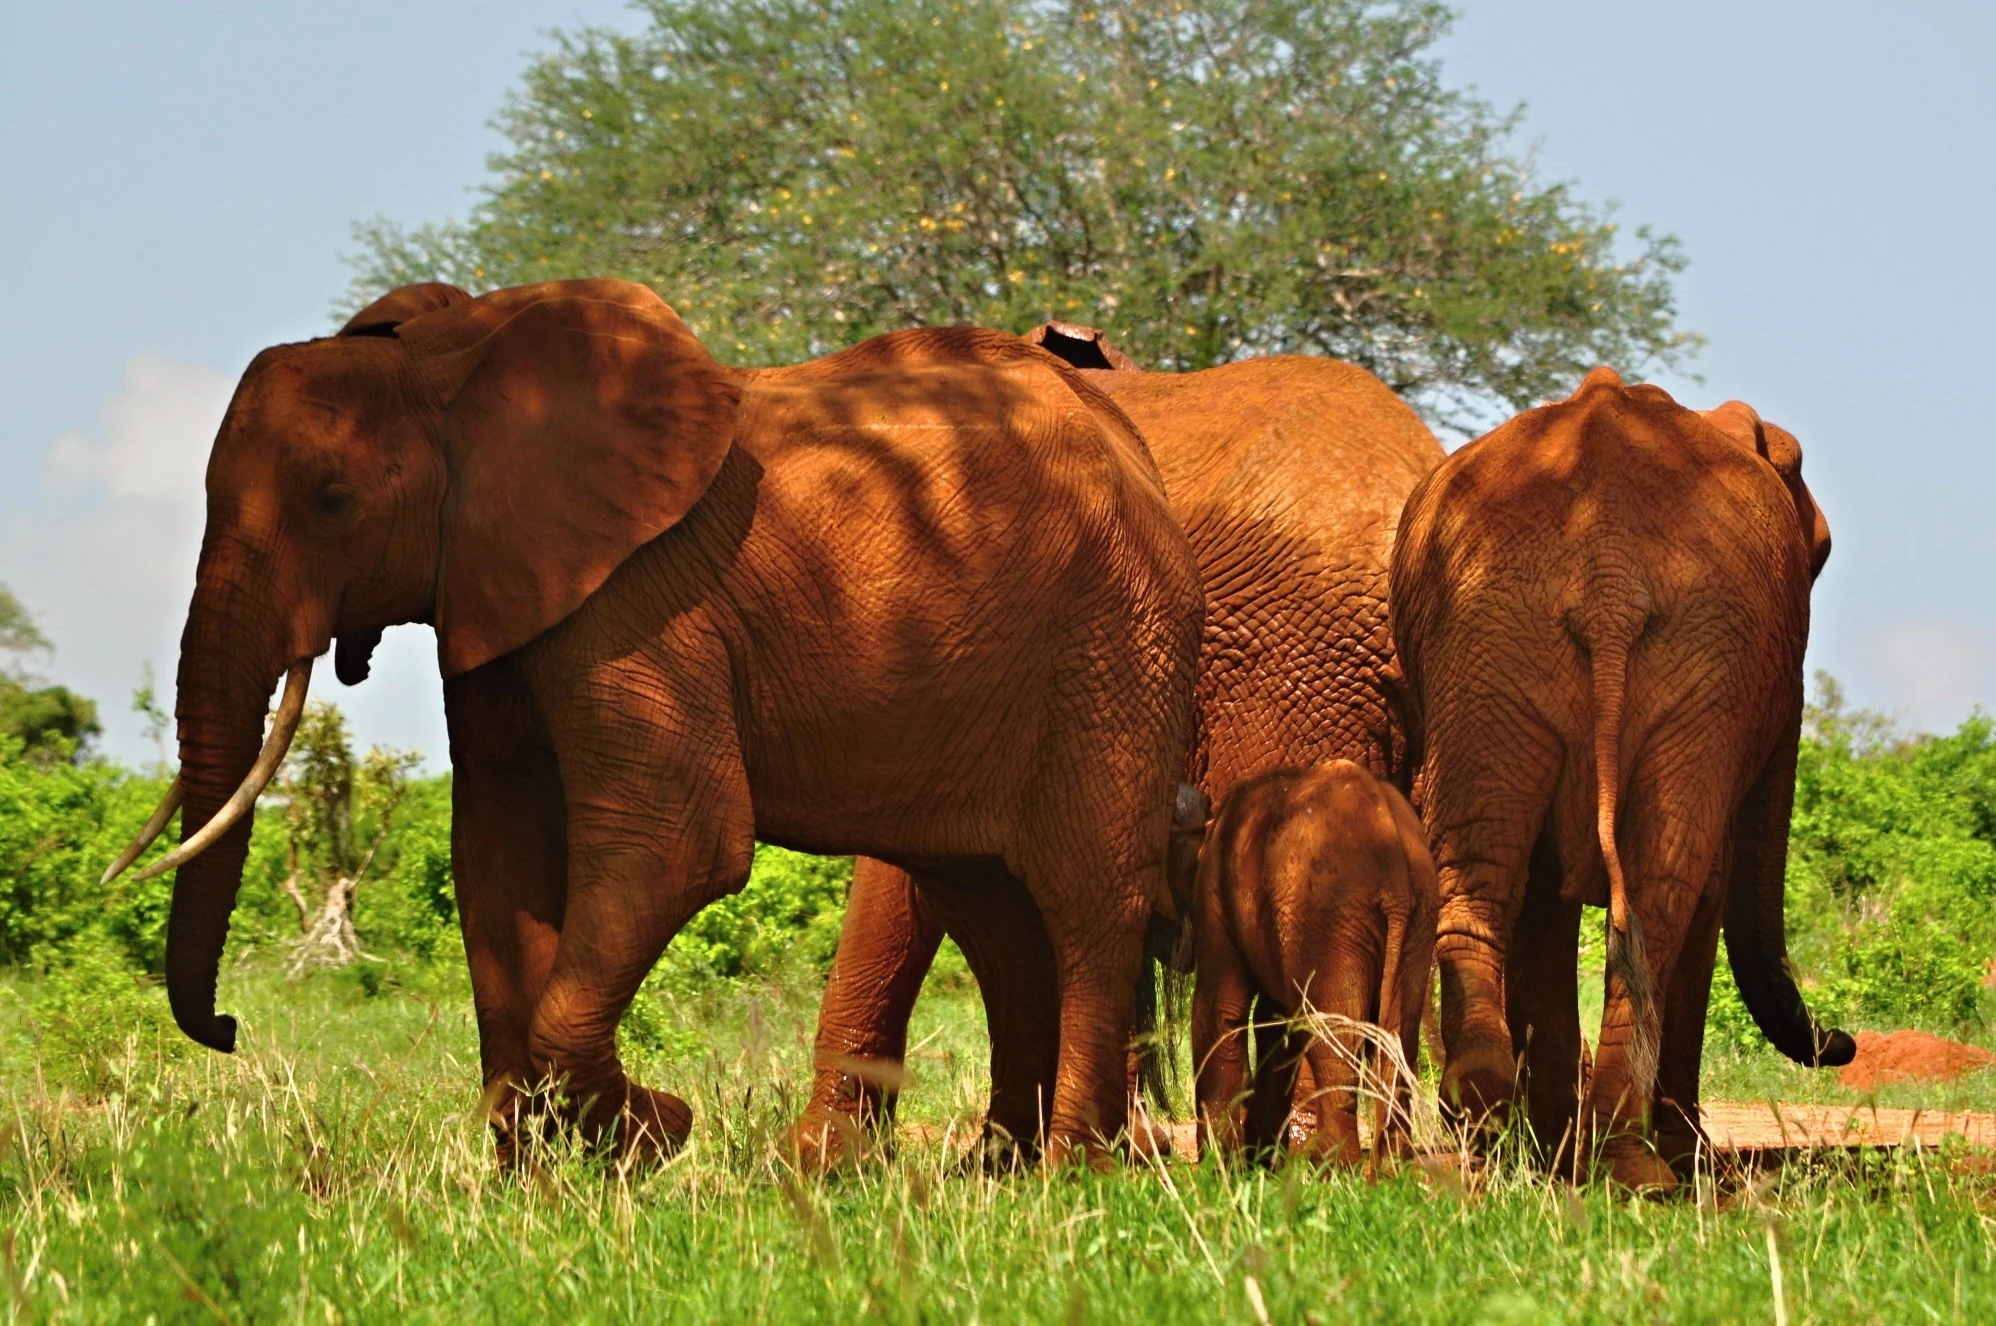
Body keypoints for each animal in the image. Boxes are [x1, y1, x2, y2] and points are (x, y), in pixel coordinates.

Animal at [102, 279, 1204, 1164]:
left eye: (332, 500)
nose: (229, 1027)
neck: (457, 366)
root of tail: (1137, 454)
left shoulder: (637, 599)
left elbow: (674, 845)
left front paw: (648, 1136)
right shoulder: (499, 592)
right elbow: (495, 856)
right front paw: (546, 1179)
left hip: (1112, 644)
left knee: (1081, 897)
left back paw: (1069, 1174)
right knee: (989, 906)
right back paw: (1001, 1175)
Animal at [1192, 760, 1437, 1166]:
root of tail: (1396, 878)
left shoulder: (1215, 885)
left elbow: (1222, 1008)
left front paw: (1222, 1166)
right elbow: (1275, 1023)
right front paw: (1258, 1163)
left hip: (1327, 914)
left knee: (1333, 1038)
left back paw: (1333, 1166)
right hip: (1413, 917)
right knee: (1397, 1038)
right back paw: (1389, 1170)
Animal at [1389, 366, 1854, 1188]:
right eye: (1818, 558)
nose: (1843, 1043)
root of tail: (1607, 576)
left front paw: (1549, 1150)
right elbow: (1704, 890)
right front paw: (1671, 1154)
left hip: (1491, 635)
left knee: (1488, 863)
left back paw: (1501, 1118)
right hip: (1669, 645)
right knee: (1666, 886)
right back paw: (1637, 1165)